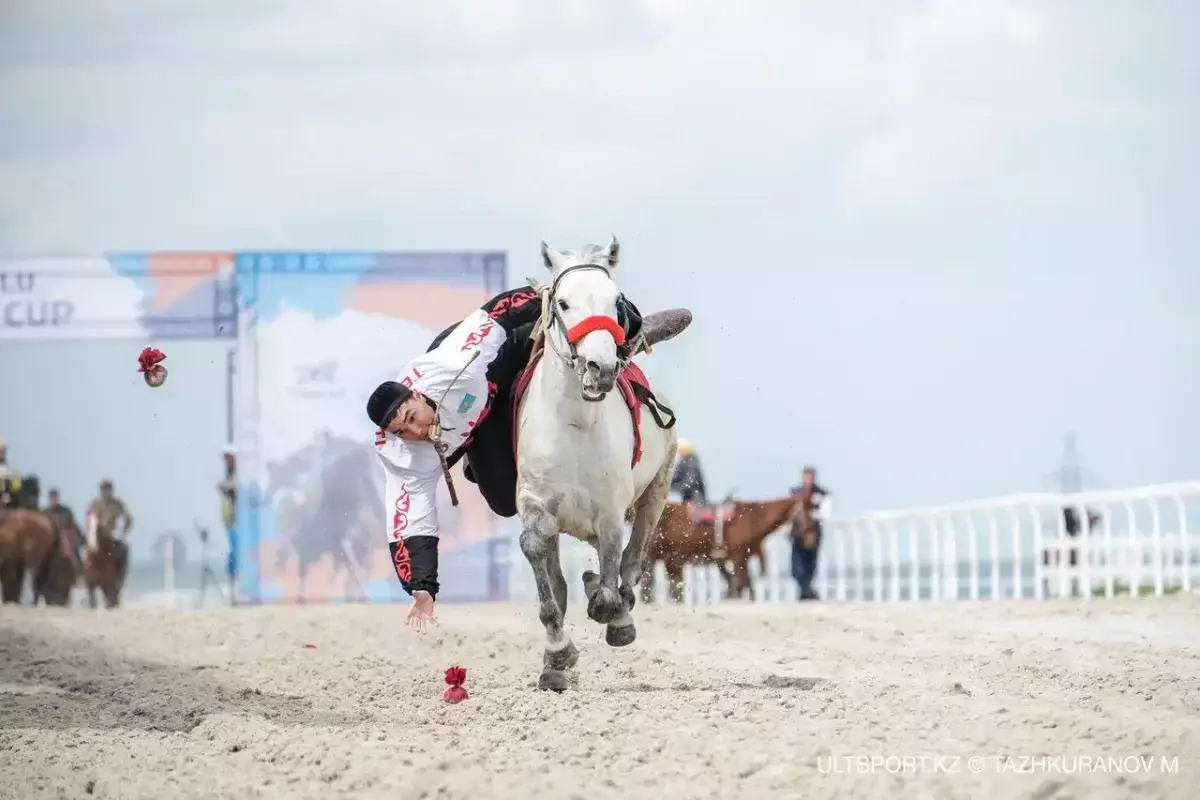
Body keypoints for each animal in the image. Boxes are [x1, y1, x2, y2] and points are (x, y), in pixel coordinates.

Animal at [516, 235, 681, 690]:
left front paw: (610, 611)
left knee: (632, 558)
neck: (574, 424)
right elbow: (540, 561)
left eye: (615, 302)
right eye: (564, 303)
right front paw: (557, 654)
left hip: (658, 488)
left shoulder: (610, 509)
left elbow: (610, 580)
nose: (601, 368)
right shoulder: (535, 502)